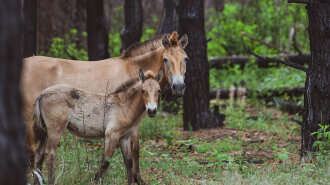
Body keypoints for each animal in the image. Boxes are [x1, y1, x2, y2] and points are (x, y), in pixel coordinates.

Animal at [32, 68, 164, 184]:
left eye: (159, 90)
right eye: (143, 90)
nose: (152, 111)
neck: (124, 105)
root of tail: (41, 94)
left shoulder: (124, 137)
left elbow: (128, 161)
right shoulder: (112, 134)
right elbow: (105, 162)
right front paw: (93, 180)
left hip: (45, 131)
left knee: (39, 154)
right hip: (55, 130)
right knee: (50, 154)